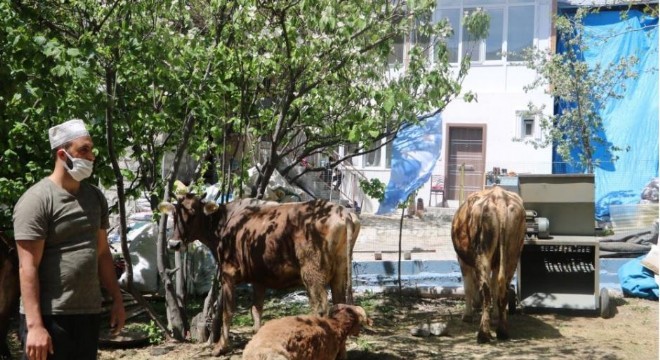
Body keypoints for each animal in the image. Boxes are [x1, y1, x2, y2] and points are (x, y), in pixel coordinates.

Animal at [159, 195, 360, 356]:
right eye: (174, 213)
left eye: (193, 213)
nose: (174, 244)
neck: (223, 225)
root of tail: (343, 212)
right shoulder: (259, 279)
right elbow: (256, 311)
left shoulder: (228, 273)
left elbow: (227, 310)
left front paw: (221, 347)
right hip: (340, 272)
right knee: (340, 306)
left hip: (312, 274)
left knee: (321, 309)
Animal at [452, 186, 524, 344]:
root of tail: (499, 196)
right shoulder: (496, 264)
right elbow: (495, 286)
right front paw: (495, 314)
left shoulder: (462, 261)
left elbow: (468, 287)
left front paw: (467, 315)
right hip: (513, 254)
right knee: (503, 287)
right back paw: (502, 330)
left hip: (482, 251)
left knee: (486, 289)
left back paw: (483, 334)